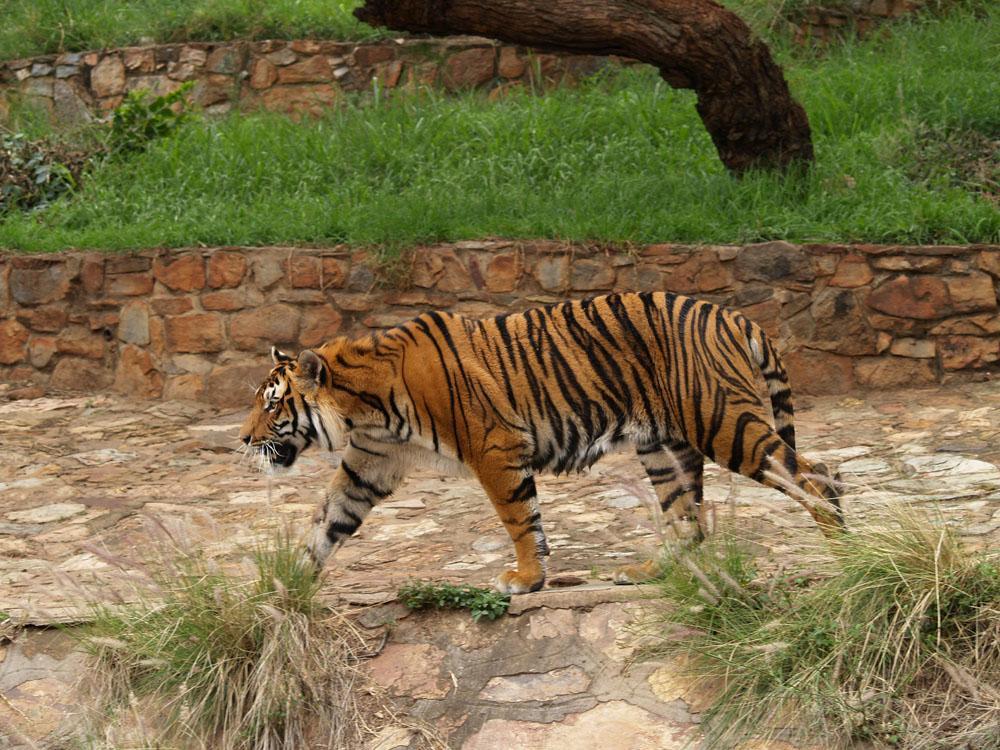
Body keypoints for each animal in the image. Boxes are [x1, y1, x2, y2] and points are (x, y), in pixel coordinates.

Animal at [242, 292, 844, 592]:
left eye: (271, 404)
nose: (243, 440)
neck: (363, 406)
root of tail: (735, 315)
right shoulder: (369, 465)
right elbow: (327, 521)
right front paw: (282, 587)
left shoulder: (495, 448)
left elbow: (519, 519)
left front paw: (527, 579)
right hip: (663, 447)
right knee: (688, 519)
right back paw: (649, 572)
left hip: (722, 421)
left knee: (818, 475)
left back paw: (843, 553)